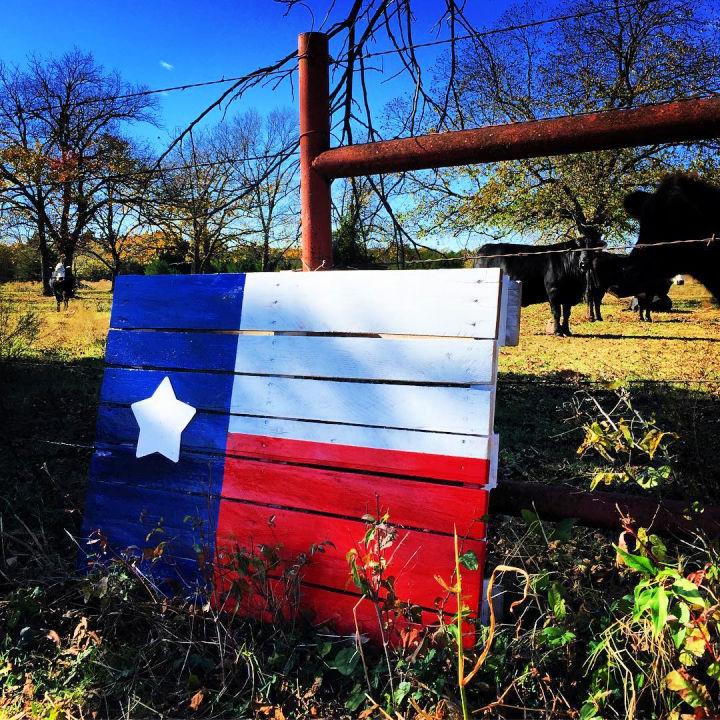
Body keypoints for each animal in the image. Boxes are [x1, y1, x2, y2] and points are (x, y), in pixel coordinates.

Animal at [476, 238, 604, 336]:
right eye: (578, 249)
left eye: (592, 250)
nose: (584, 263)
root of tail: (483, 249)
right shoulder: (553, 291)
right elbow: (557, 313)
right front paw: (557, 332)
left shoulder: (568, 296)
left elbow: (567, 314)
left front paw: (567, 331)